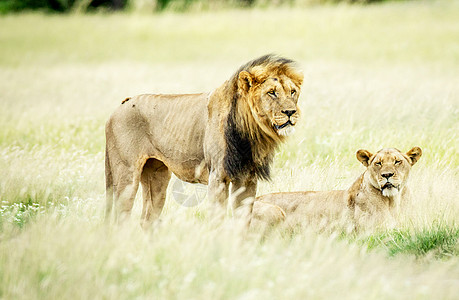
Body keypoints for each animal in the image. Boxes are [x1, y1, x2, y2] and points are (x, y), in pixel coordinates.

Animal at [106, 55, 304, 226]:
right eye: (272, 93)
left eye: (292, 92)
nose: (290, 112)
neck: (250, 131)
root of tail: (118, 108)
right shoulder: (217, 176)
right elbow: (217, 219)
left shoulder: (247, 178)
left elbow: (243, 220)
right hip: (126, 174)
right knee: (120, 217)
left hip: (157, 175)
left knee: (147, 219)